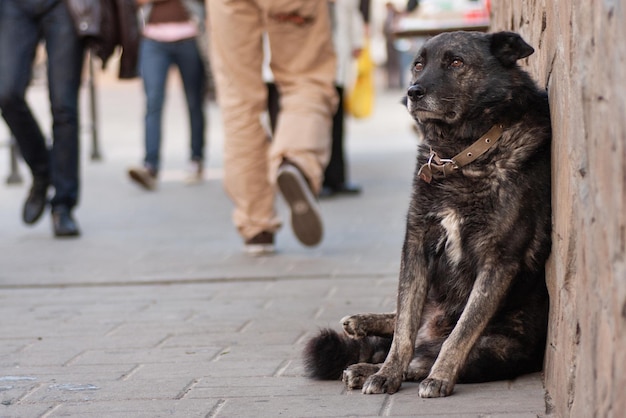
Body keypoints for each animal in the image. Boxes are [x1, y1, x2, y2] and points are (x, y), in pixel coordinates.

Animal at [302, 31, 552, 396]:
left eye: (456, 62)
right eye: (418, 64)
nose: (413, 92)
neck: (461, 155)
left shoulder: (499, 261)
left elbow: (462, 331)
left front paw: (441, 376)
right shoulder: (416, 245)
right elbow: (404, 327)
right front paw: (387, 372)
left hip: (497, 346)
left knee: (423, 358)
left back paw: (372, 364)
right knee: (405, 326)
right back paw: (363, 336)